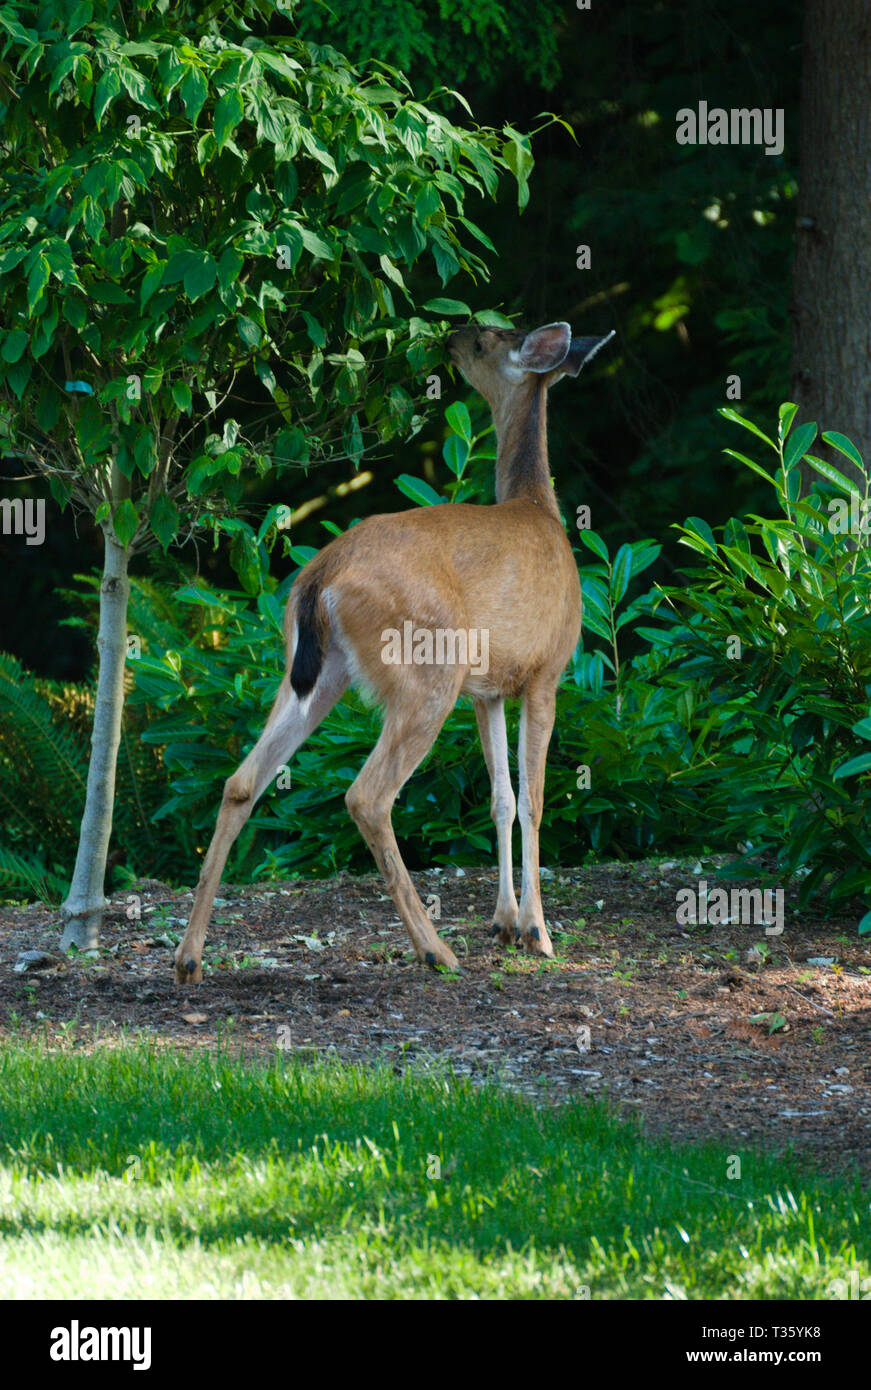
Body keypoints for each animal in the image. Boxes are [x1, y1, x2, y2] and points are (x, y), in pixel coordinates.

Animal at [175, 319, 614, 984]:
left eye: (484, 339)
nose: (451, 335)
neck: (541, 507)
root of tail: (321, 574)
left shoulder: (488, 691)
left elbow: (502, 799)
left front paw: (504, 923)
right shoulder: (547, 670)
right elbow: (534, 800)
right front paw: (538, 931)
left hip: (315, 673)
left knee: (241, 781)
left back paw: (189, 959)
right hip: (426, 668)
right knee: (367, 795)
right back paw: (435, 950)